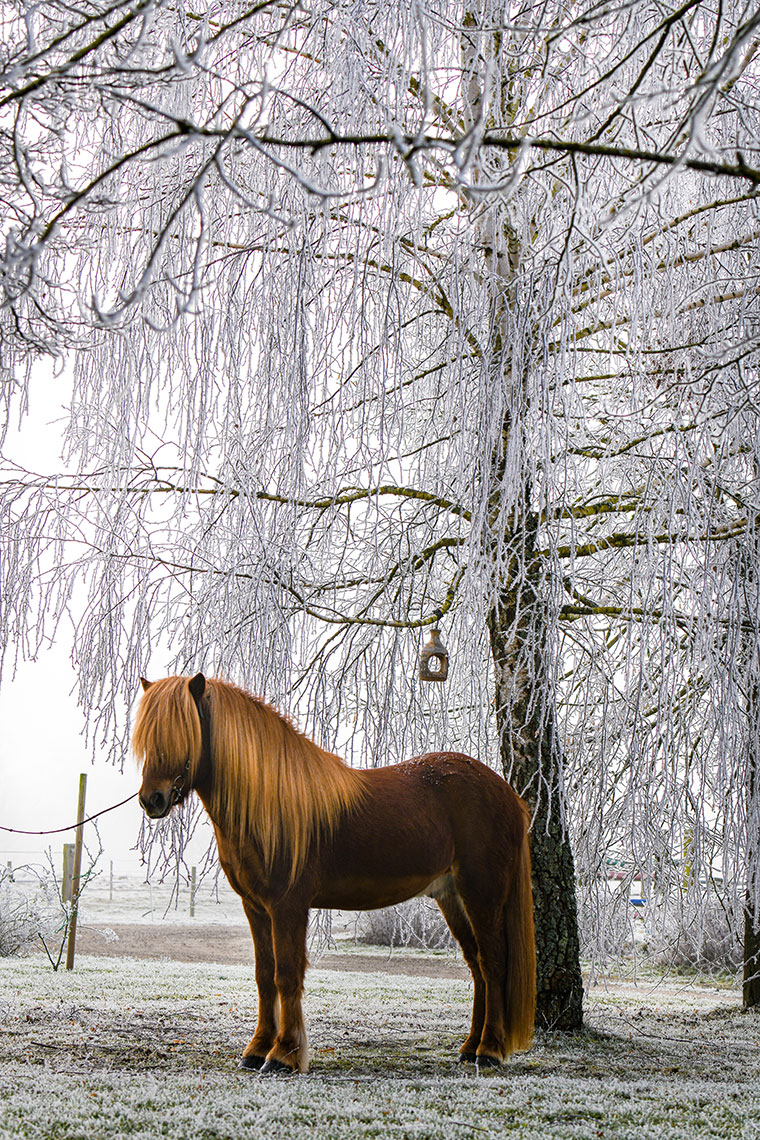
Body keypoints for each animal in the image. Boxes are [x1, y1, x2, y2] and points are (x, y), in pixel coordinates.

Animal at [133, 670, 535, 1071]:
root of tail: (507, 794)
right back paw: (470, 1048)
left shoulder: (288, 907)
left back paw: (490, 1050)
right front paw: (257, 1049)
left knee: (494, 963)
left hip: (482, 893)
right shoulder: (256, 907)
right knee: (477, 966)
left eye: (180, 734)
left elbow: (287, 975)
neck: (271, 802)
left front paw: (284, 1055)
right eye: (148, 738)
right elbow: (264, 976)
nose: (152, 800)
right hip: (452, 897)